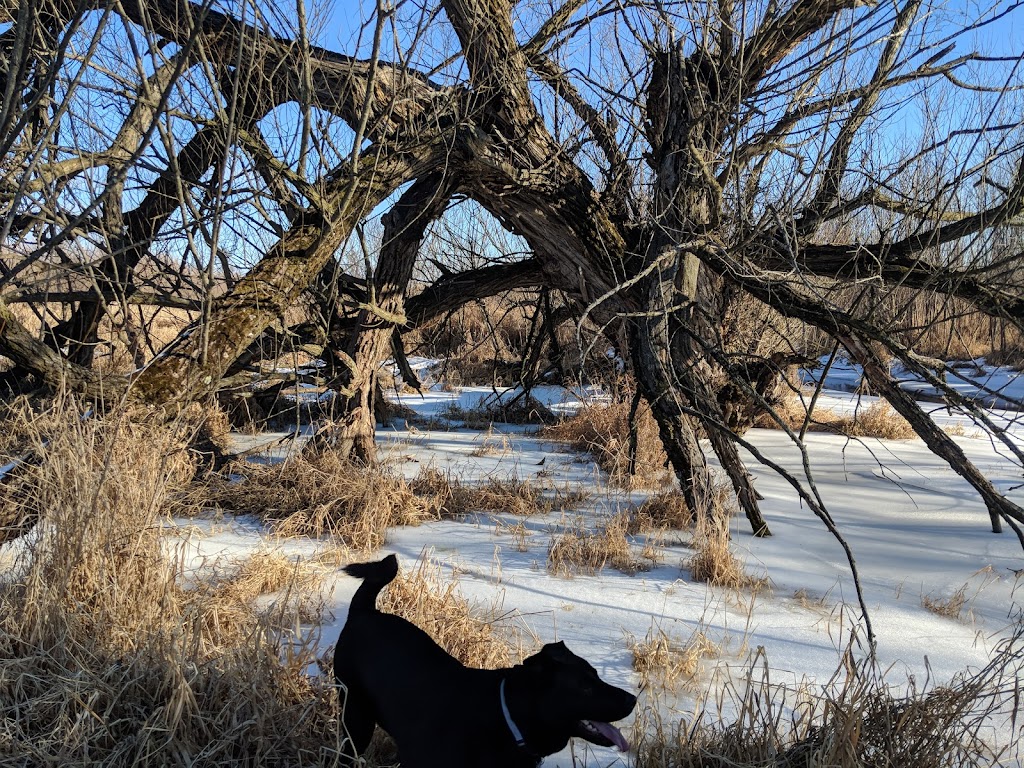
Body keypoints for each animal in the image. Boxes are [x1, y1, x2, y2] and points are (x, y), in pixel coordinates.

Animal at [331, 557, 634, 765]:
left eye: (596, 674)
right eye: (584, 687)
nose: (632, 700)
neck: (506, 718)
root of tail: (363, 612)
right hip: (355, 718)